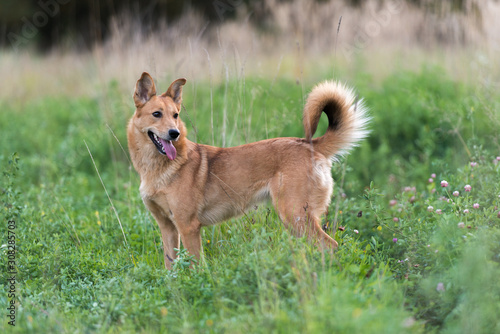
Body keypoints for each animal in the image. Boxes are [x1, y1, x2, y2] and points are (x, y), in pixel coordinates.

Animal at [127, 73, 370, 268]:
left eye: (175, 115)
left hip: (295, 216)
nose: (174, 133)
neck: (158, 168)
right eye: (157, 114)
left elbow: (196, 267)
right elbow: (170, 268)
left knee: (331, 245)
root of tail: (310, 145)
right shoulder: (168, 228)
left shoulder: (188, 227)